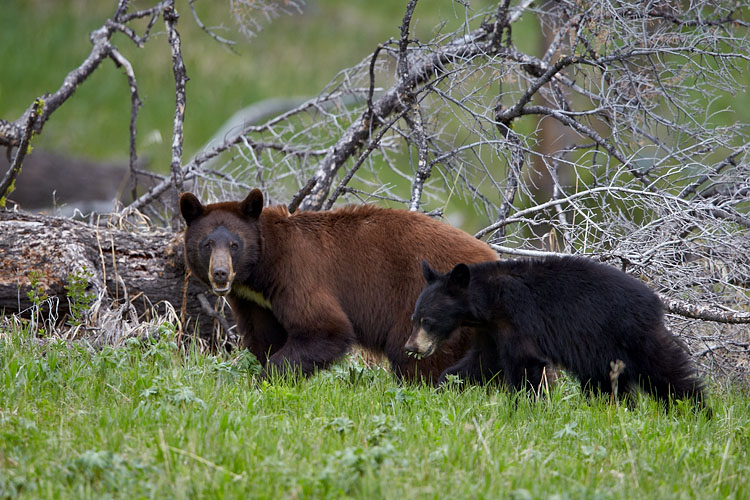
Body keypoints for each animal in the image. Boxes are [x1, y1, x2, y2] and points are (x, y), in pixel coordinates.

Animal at [179, 188, 499, 381]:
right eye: (207, 244)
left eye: (234, 244)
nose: (221, 273)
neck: (265, 264)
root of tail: (492, 256)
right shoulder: (256, 301)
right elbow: (263, 338)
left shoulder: (296, 272)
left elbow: (325, 328)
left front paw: (267, 379)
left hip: (425, 308)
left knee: (419, 359)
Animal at [405, 256, 707, 409]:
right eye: (414, 318)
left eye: (427, 320)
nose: (411, 347)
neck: (490, 301)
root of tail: (655, 301)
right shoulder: (492, 331)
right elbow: (481, 362)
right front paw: (444, 386)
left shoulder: (519, 319)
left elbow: (525, 365)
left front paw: (525, 408)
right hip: (603, 353)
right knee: (606, 385)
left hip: (631, 336)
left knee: (666, 371)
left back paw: (695, 409)